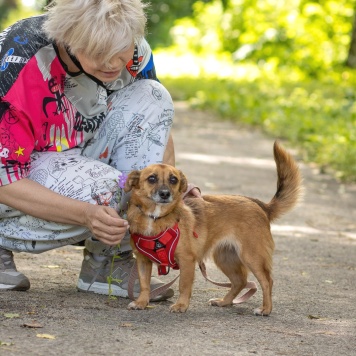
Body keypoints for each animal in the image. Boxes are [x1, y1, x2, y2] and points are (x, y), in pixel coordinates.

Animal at [124, 141, 302, 314]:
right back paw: (224, 302)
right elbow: (144, 285)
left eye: (173, 180)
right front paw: (141, 302)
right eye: (151, 178)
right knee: (240, 281)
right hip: (225, 258)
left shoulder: (187, 261)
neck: (155, 217)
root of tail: (260, 205)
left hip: (252, 256)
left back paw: (265, 309)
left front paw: (181, 305)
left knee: (266, 281)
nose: (165, 194)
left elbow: (183, 285)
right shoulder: (143, 261)